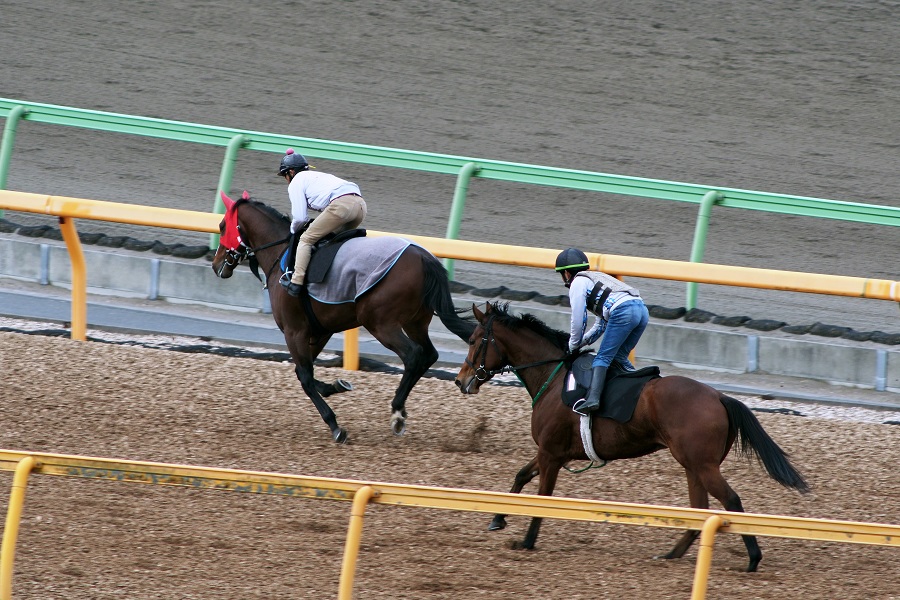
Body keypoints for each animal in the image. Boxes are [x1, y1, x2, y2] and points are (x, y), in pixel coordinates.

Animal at [454, 300, 812, 572]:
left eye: (473, 340)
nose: (461, 380)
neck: (553, 377)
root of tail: (719, 396)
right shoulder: (551, 451)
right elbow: (521, 475)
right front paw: (497, 519)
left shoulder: (551, 453)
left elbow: (543, 496)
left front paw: (527, 541)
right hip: (693, 465)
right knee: (700, 507)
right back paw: (671, 554)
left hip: (702, 464)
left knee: (732, 501)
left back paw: (753, 558)